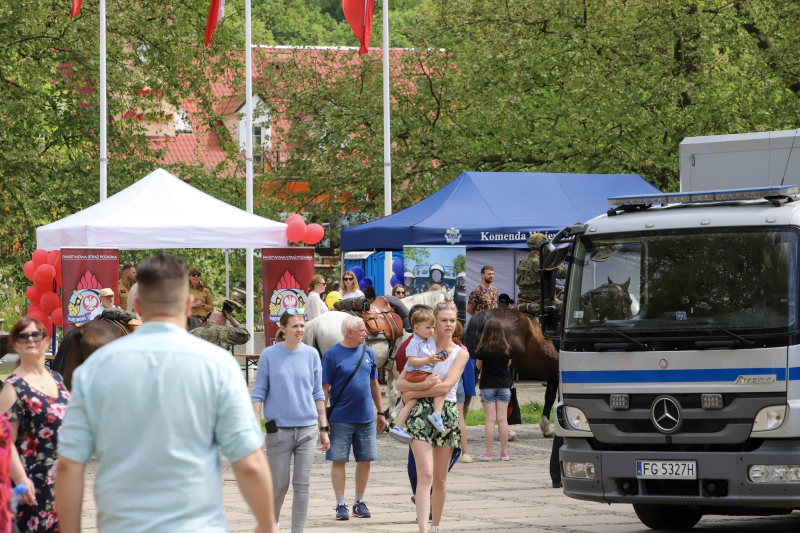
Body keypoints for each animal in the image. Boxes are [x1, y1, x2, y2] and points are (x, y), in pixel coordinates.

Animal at [304, 288, 446, 426]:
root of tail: (317, 321)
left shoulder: (390, 368)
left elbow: (393, 394)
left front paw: (390, 419)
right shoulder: (402, 368)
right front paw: (391, 418)